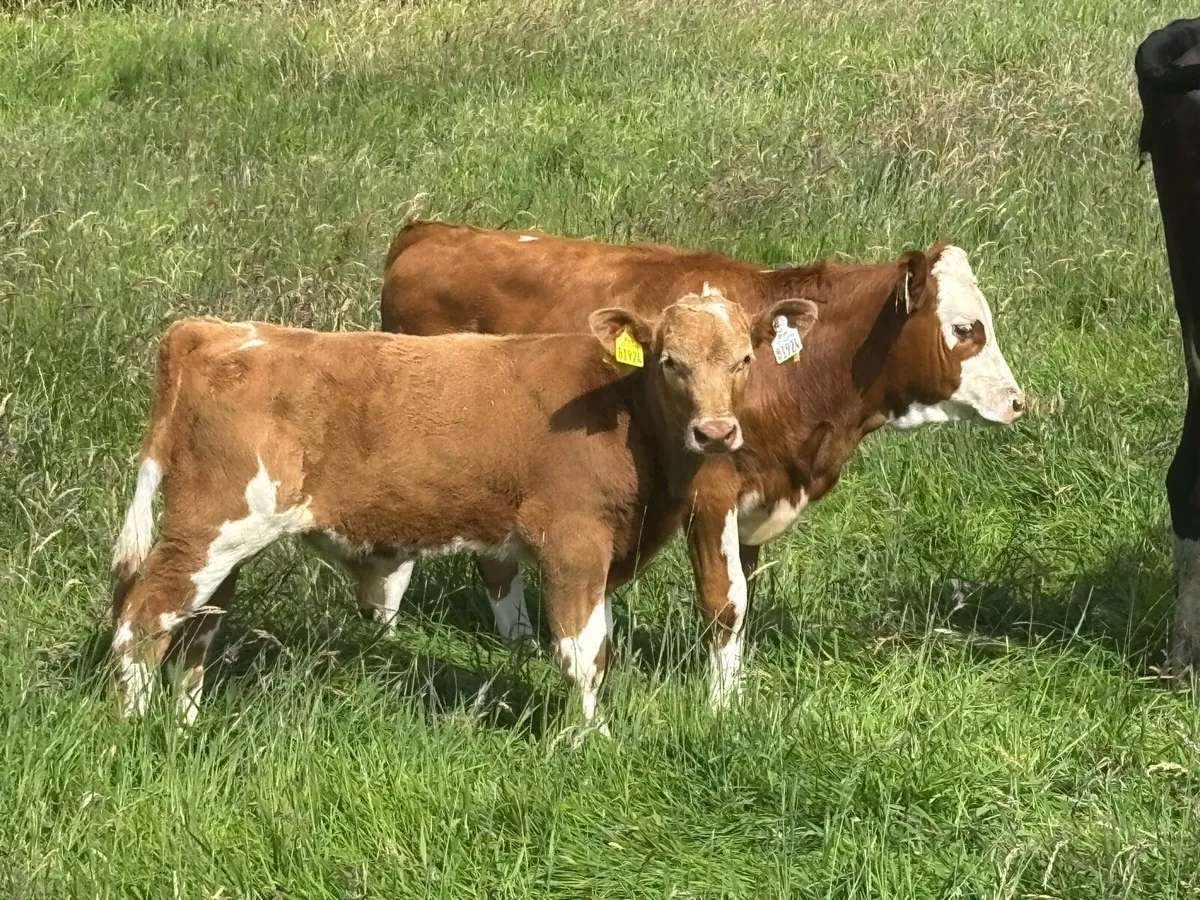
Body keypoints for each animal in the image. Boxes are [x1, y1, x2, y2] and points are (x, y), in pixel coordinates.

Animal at [110, 289, 818, 729]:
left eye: (745, 359)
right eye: (670, 362)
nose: (717, 432)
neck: (623, 410)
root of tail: (216, 331)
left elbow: (600, 643)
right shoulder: (573, 541)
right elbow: (584, 651)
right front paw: (592, 742)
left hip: (224, 541)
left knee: (197, 627)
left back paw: (187, 723)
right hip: (210, 525)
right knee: (143, 617)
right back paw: (135, 727)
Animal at [379, 220, 1025, 705]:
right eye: (964, 328)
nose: (1019, 402)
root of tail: (430, 230)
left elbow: (745, 598)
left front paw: (733, 687)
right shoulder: (712, 495)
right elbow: (724, 603)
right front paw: (721, 706)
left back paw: (515, 640)